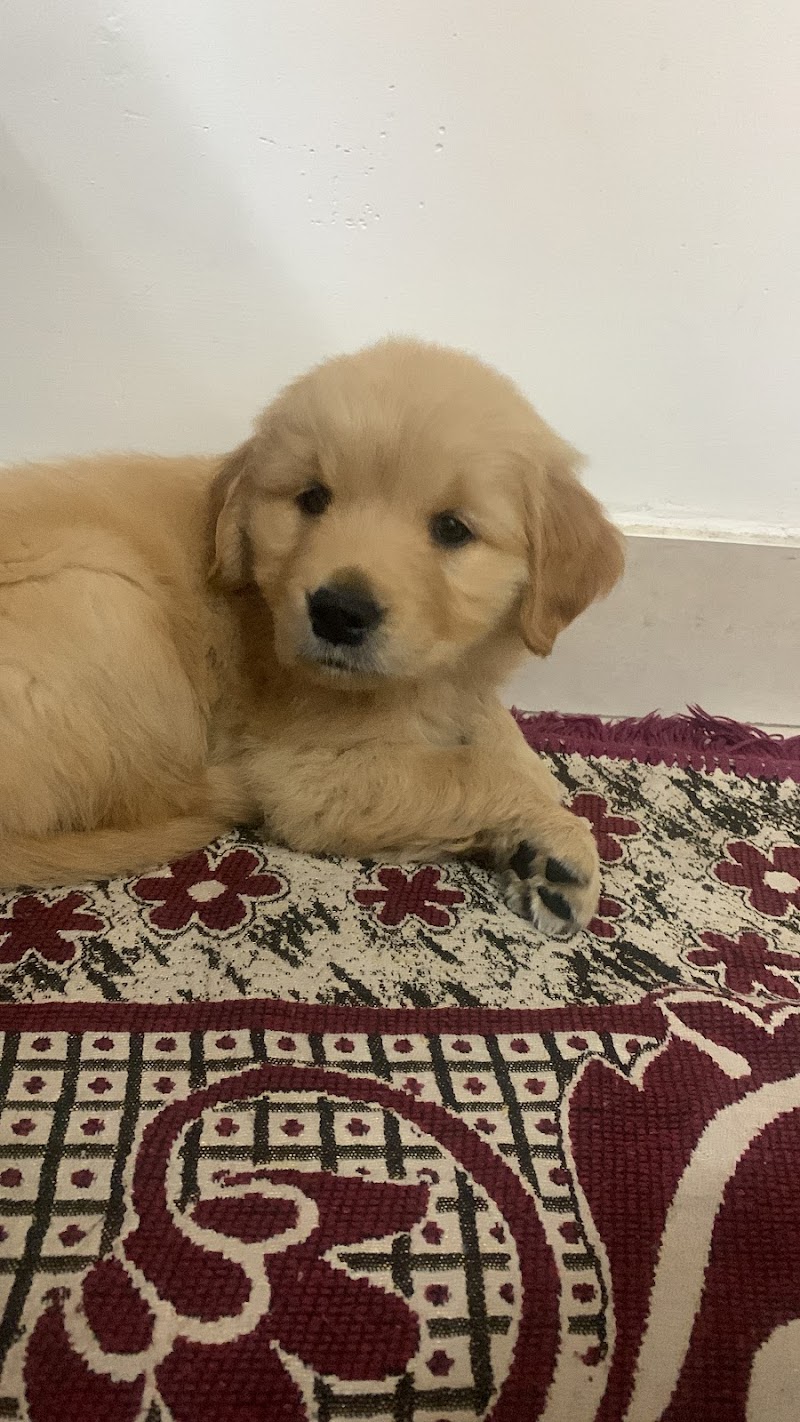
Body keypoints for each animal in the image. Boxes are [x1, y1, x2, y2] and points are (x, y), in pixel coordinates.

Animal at [0, 339, 623, 934]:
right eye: (313, 499)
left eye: (451, 528)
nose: (338, 612)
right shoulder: (313, 777)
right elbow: (468, 771)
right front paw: (552, 829)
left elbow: (504, 736)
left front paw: (549, 850)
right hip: (110, 598)